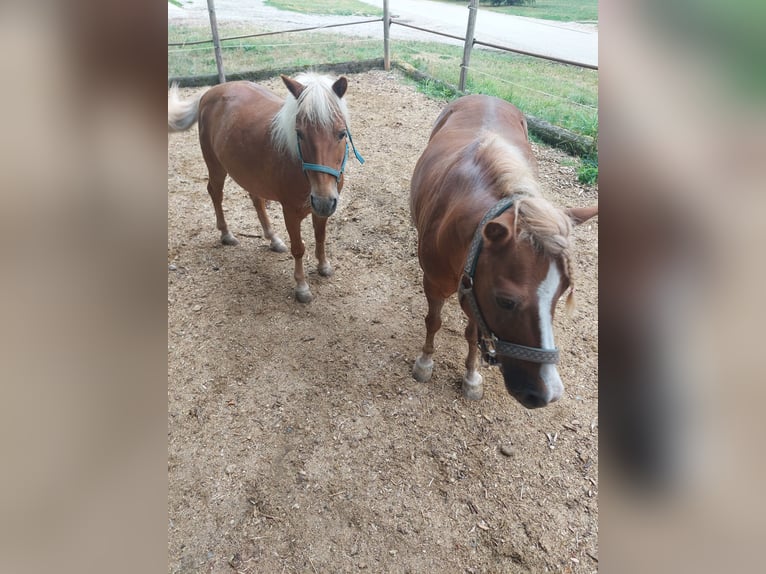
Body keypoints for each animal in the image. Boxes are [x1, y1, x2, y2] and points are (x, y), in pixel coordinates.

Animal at [168, 73, 364, 303]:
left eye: (342, 134)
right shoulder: (291, 212)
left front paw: (323, 266)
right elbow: (298, 248)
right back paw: (226, 234)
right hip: (215, 166)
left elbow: (320, 238)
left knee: (256, 200)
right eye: (299, 134)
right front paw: (302, 287)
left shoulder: (322, 209)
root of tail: (210, 92)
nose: (323, 200)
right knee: (215, 193)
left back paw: (274, 239)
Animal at [409, 95, 597, 409]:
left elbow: (472, 334)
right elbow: (433, 321)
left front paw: (471, 377)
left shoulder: (474, 295)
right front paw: (425, 363)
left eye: (560, 295)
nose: (546, 394)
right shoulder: (435, 283)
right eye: (506, 301)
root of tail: (486, 96)